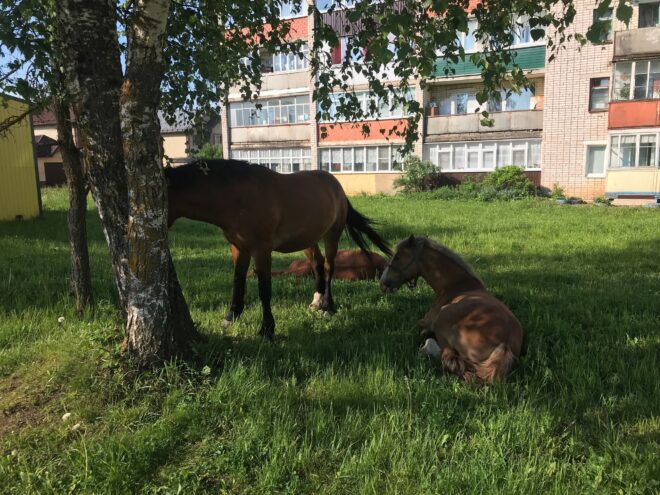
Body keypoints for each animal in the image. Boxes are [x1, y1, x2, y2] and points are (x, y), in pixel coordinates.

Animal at [166, 159, 392, 340]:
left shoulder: (261, 250)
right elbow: (238, 281)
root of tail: (337, 186)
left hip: (331, 236)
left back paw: (328, 307)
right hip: (308, 240)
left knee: (329, 268)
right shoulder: (238, 248)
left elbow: (264, 290)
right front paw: (231, 318)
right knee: (317, 265)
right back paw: (316, 302)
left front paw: (267, 330)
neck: (238, 198)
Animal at [379, 235, 523, 383]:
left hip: (444, 319)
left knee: (445, 357)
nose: (383, 283)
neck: (455, 285)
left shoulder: (426, 322)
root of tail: (504, 344)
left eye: (397, 257)